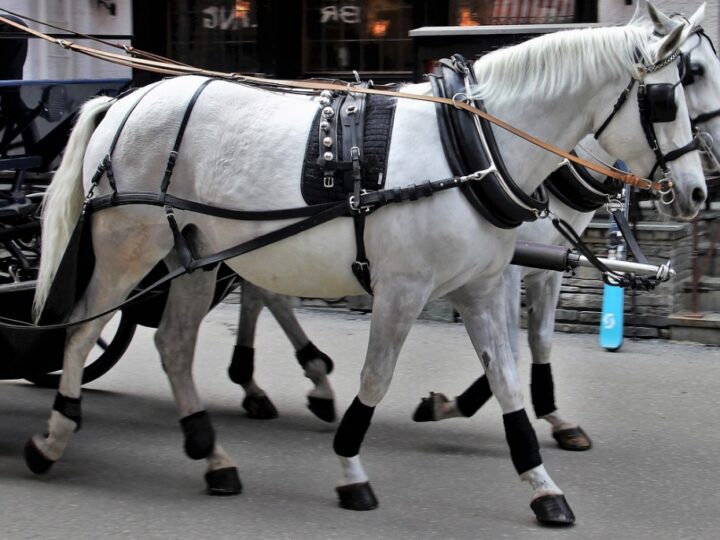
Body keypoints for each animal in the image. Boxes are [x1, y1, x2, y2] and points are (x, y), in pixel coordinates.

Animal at [414, 2, 716, 452]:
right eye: (691, 72)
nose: (698, 192)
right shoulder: (506, 269)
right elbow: (509, 348)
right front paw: (455, 404)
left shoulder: (551, 263)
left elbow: (539, 338)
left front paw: (555, 417)